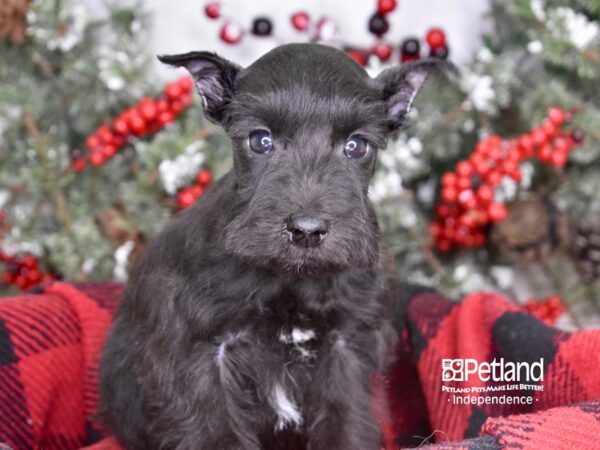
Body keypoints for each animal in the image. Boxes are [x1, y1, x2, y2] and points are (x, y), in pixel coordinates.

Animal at [101, 43, 452, 450]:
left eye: (356, 146)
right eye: (260, 140)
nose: (307, 231)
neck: (290, 280)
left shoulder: (346, 351)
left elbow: (345, 422)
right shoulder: (201, 357)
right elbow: (216, 431)